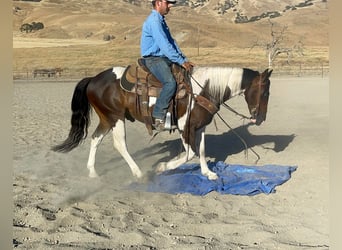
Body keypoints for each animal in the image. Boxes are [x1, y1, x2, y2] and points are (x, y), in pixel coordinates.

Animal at [51, 63, 272, 181]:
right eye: (264, 92)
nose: (260, 118)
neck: (204, 89)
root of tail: (93, 78)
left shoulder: (199, 127)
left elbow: (201, 151)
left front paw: (208, 173)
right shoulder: (185, 128)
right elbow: (190, 153)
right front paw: (162, 167)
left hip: (107, 118)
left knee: (95, 139)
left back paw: (92, 172)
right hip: (116, 117)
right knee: (119, 144)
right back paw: (139, 172)